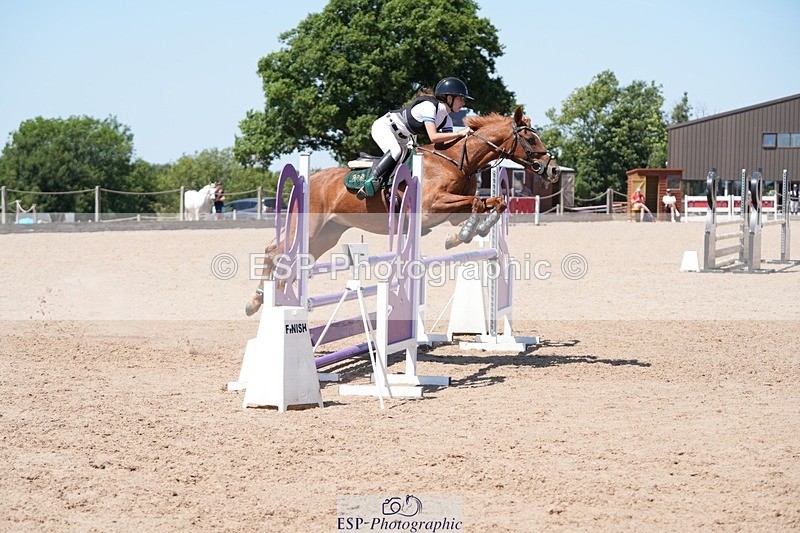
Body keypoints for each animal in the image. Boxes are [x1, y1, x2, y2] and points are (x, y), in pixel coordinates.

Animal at [245, 106, 560, 316]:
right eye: (530, 139)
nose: (553, 169)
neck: (455, 160)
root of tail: (308, 179)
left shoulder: (450, 209)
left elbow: (491, 203)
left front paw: (464, 234)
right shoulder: (432, 207)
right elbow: (478, 203)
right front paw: (463, 235)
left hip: (328, 235)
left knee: (288, 257)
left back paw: (269, 297)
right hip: (310, 228)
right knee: (276, 251)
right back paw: (257, 301)